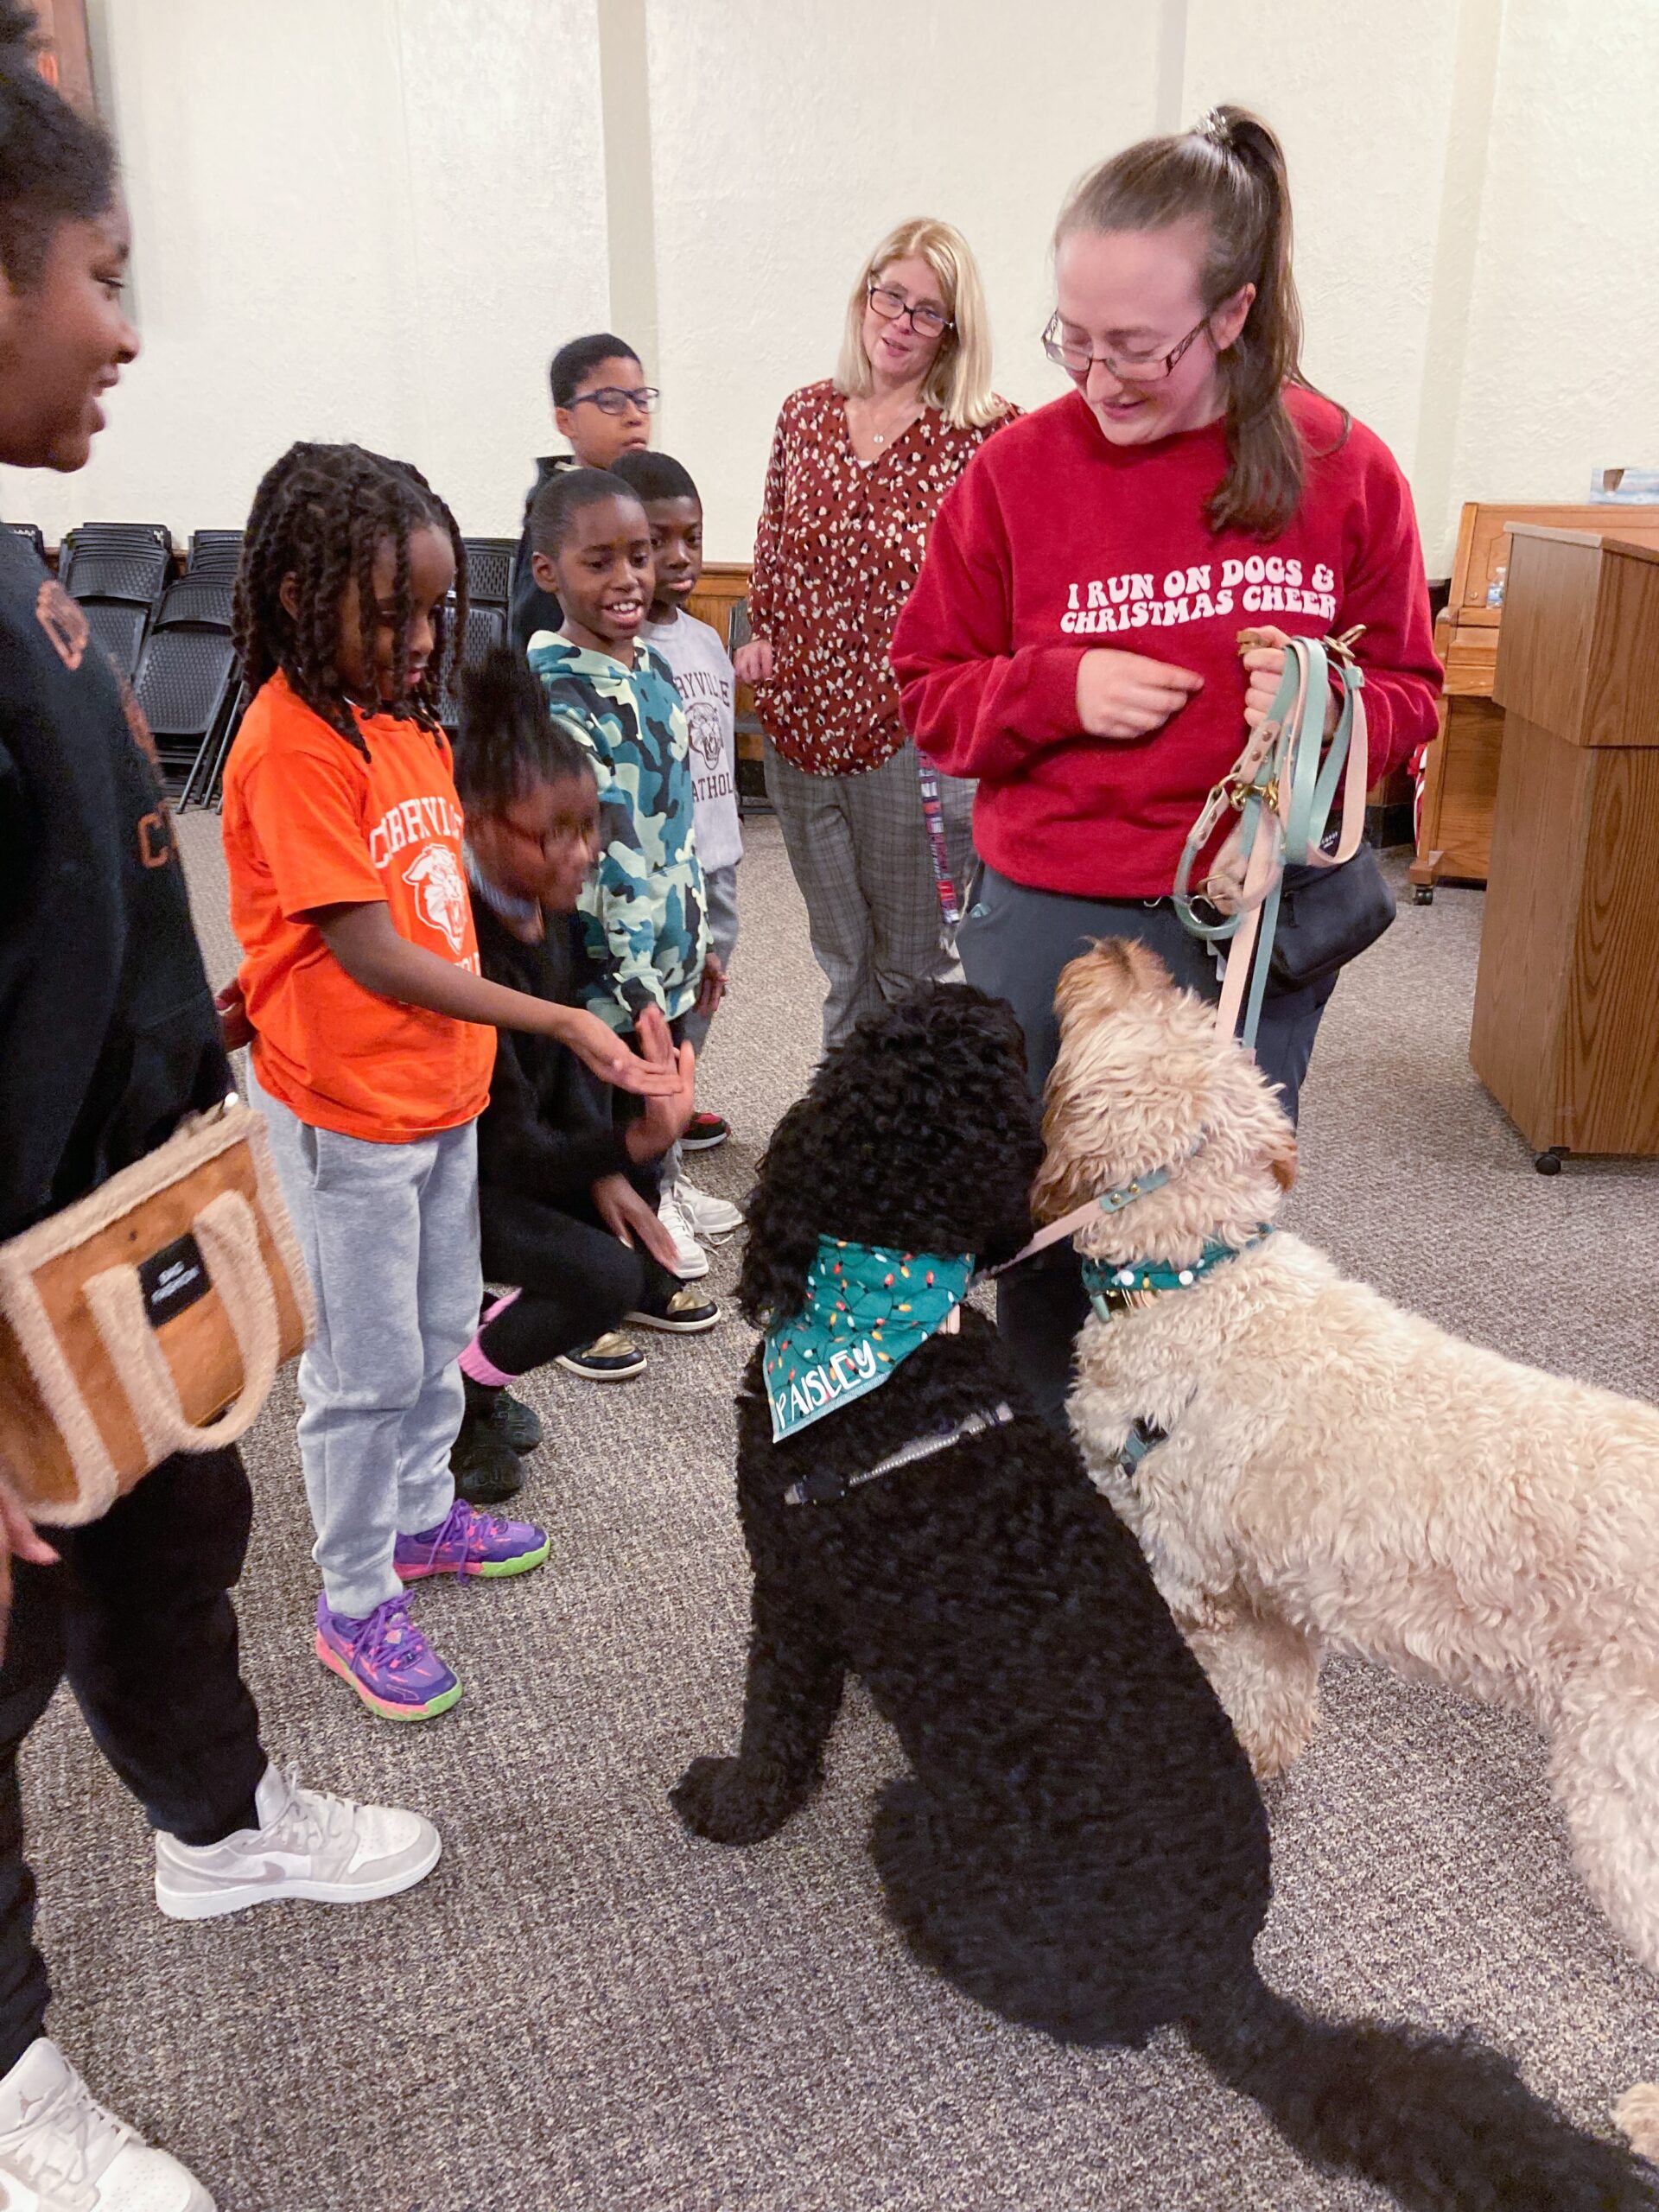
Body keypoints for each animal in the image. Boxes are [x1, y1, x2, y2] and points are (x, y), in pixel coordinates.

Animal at [677, 986, 1659, 2212]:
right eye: (956, 1045)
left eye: (994, 1050)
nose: (972, 988)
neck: (890, 1329)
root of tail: (1221, 1968)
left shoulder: (790, 1585)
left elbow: (775, 1722)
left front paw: (726, 1806)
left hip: (919, 1828)